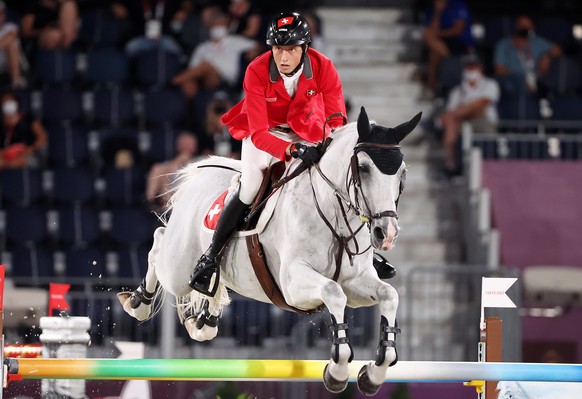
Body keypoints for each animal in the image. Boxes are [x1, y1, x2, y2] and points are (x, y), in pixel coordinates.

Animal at [118, 107, 422, 396]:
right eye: (364, 167)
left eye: (402, 173)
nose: (386, 234)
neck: (333, 213)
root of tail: (203, 172)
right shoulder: (293, 284)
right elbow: (333, 293)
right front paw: (337, 370)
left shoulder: (356, 282)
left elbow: (389, 295)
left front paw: (374, 373)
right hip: (178, 267)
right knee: (159, 244)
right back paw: (138, 302)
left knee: (212, 280)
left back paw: (205, 319)